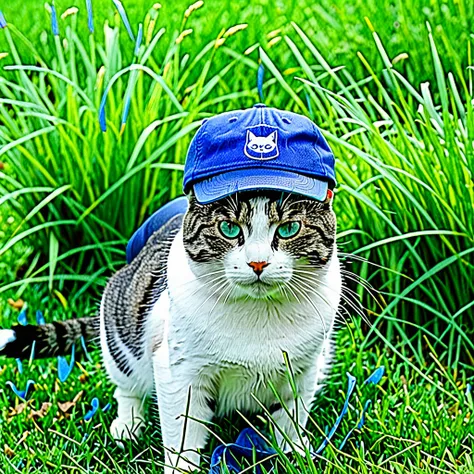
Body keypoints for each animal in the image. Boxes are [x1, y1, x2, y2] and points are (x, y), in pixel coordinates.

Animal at [0, 187, 340, 472]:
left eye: (289, 228)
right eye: (229, 229)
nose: (258, 263)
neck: (258, 316)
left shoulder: (305, 369)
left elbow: (292, 416)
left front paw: (294, 453)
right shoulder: (178, 369)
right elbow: (183, 431)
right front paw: (181, 467)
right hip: (119, 330)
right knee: (126, 385)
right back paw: (128, 424)